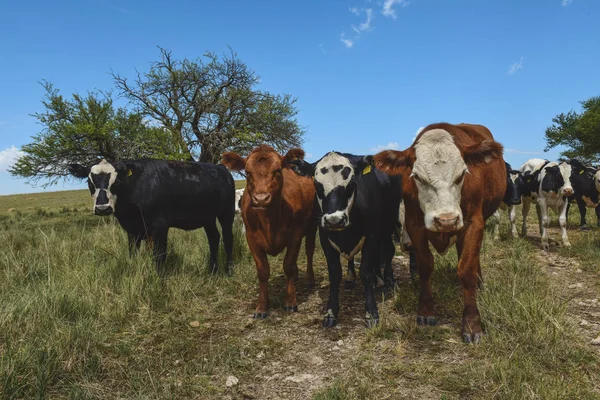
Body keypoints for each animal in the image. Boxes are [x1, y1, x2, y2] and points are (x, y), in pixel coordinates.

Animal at [71, 159, 237, 276]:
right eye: (90, 182)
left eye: (117, 182)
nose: (103, 208)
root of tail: (221, 168)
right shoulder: (132, 230)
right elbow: (133, 253)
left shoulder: (160, 226)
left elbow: (159, 254)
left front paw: (158, 279)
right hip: (207, 217)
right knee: (213, 238)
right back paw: (212, 271)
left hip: (226, 213)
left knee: (228, 238)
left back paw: (228, 271)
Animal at [219, 145, 314, 318]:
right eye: (247, 172)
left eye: (277, 170)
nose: (261, 199)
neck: (269, 220)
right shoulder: (251, 239)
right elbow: (263, 271)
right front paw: (262, 307)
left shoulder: (295, 235)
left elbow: (288, 265)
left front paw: (290, 301)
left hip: (312, 226)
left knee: (309, 251)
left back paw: (309, 279)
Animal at [292, 152, 404, 326]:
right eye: (316, 185)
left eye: (351, 183)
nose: (334, 220)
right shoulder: (325, 238)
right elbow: (334, 274)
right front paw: (331, 312)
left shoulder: (372, 235)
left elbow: (366, 272)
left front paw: (371, 312)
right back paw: (354, 278)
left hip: (388, 225)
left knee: (387, 252)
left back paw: (386, 279)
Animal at [376, 122, 506, 344]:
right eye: (417, 177)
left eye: (462, 174)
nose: (447, 220)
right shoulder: (414, 225)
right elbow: (425, 266)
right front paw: (426, 310)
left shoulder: (474, 223)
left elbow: (467, 270)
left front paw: (472, 324)